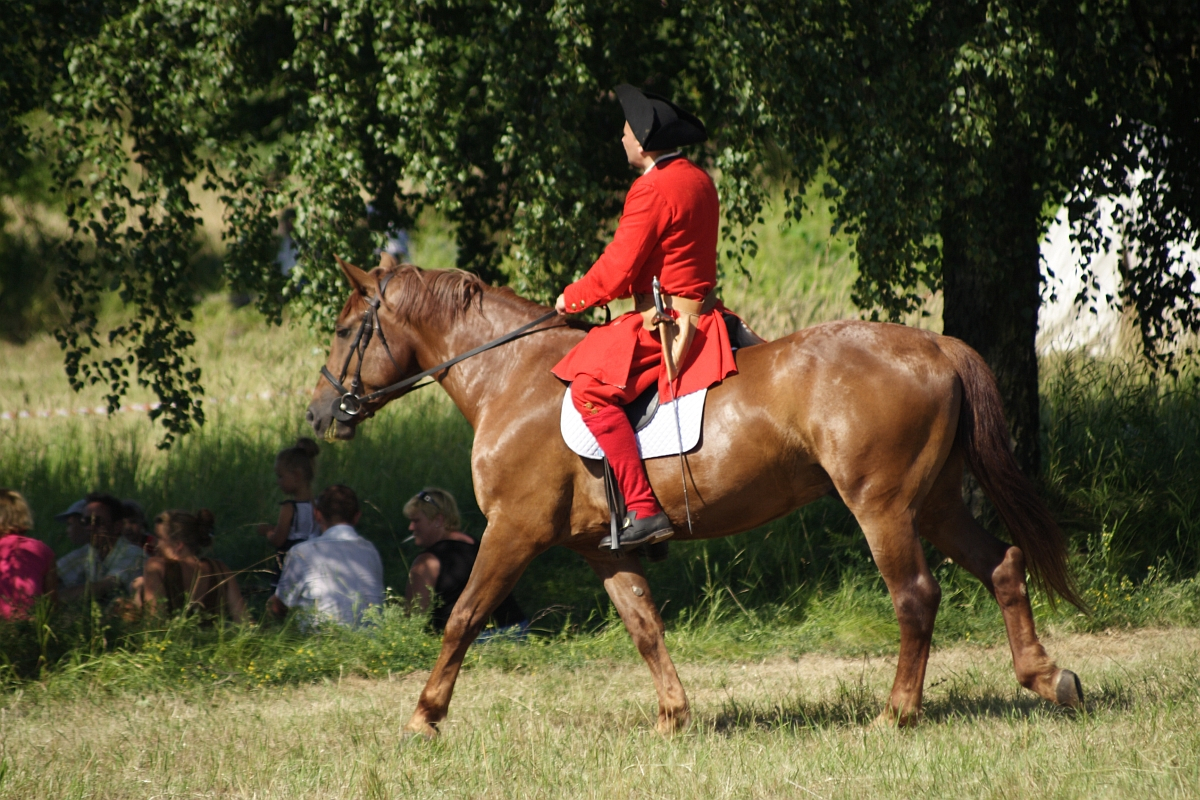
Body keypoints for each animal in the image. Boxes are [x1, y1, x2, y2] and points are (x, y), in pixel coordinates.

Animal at [306, 256, 1084, 737]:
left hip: (884, 507)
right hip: (939, 504)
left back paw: (896, 713)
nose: (318, 415)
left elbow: (462, 618)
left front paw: (424, 716)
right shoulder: (603, 550)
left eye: (344, 331)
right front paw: (674, 718)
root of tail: (936, 346)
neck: (512, 378)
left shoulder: (513, 531)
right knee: (1002, 565)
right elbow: (645, 626)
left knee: (916, 596)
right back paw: (1049, 679)